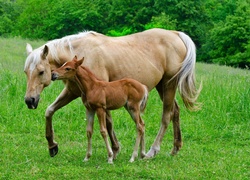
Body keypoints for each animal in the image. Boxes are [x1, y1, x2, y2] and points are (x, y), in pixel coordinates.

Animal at [24, 28, 200, 160]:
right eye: (26, 71)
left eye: (41, 72)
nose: (29, 100)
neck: (82, 54)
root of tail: (175, 34)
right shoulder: (73, 92)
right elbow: (49, 111)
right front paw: (52, 146)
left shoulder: (102, 96)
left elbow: (108, 123)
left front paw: (114, 150)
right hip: (162, 87)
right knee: (175, 111)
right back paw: (175, 148)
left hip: (169, 85)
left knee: (166, 116)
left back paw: (152, 151)